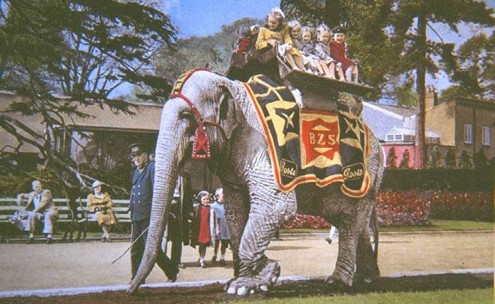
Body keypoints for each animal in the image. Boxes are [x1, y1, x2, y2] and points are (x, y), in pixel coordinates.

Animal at [127, 69, 384, 294]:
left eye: (186, 116)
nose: (130, 290)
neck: (232, 87)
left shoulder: (262, 148)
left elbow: (276, 206)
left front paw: (261, 277)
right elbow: (235, 212)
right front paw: (243, 282)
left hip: (366, 175)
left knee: (349, 223)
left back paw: (338, 282)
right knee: (350, 220)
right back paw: (367, 279)